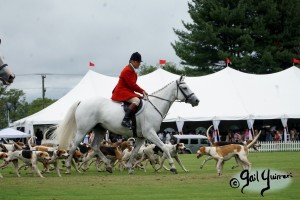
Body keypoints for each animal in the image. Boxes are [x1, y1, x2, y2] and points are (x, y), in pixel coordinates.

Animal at [53, 75, 199, 173]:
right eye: (185, 87)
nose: (197, 101)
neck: (154, 106)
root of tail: (82, 102)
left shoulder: (141, 137)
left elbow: (134, 152)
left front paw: (129, 167)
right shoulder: (150, 133)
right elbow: (164, 147)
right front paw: (173, 166)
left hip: (100, 129)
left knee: (95, 146)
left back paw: (108, 165)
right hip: (83, 130)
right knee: (73, 146)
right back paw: (68, 167)